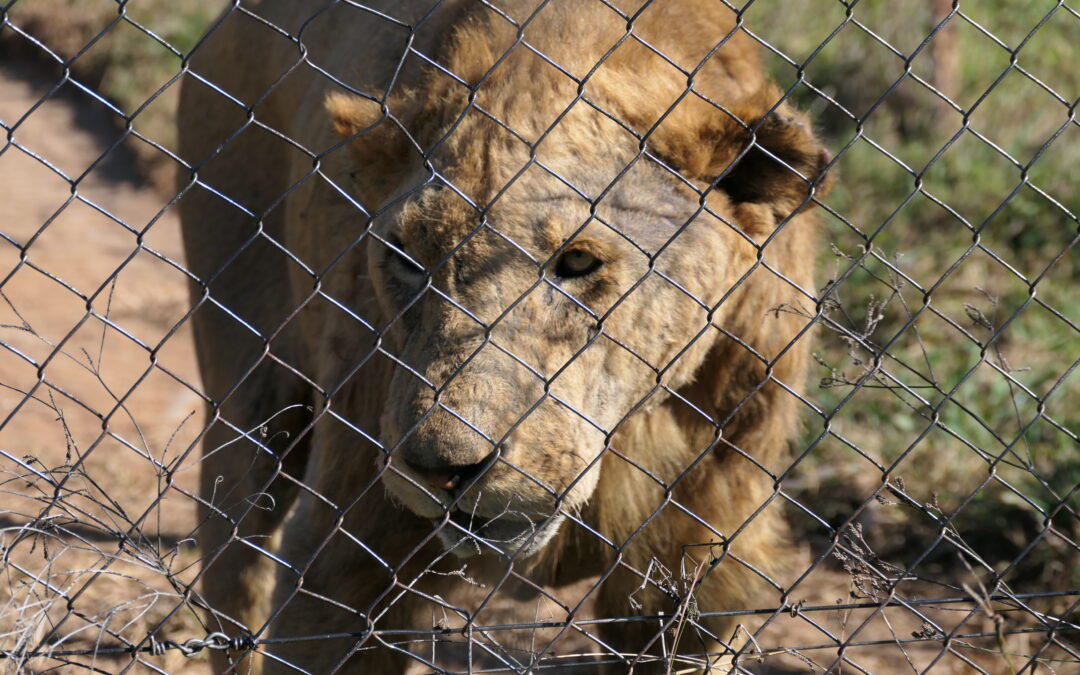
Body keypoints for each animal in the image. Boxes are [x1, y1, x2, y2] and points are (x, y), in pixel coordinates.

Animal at [179, 1, 825, 669]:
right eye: (406, 256)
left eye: (577, 261)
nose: (441, 470)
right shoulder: (350, 555)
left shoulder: (694, 564)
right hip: (251, 387)